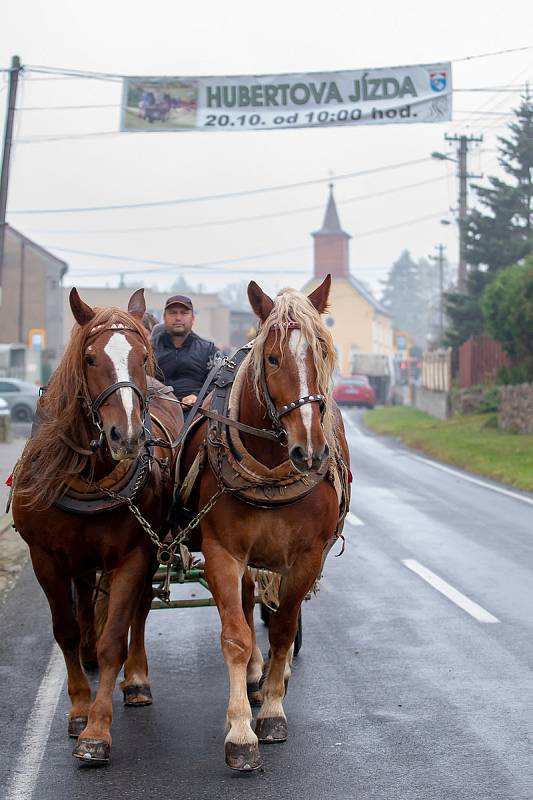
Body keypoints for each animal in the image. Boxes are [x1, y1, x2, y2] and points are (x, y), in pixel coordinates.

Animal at [11, 290, 183, 764]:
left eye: (143, 356)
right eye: (89, 358)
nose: (126, 436)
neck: (90, 475)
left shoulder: (133, 555)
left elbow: (114, 640)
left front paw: (96, 730)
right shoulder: (46, 558)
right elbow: (67, 631)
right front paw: (78, 710)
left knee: (139, 612)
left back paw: (137, 680)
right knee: (86, 603)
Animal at [180, 274, 350, 768]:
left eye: (323, 353)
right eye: (272, 358)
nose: (309, 451)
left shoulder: (308, 557)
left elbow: (284, 628)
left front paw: (273, 710)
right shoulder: (223, 552)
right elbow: (236, 635)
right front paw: (240, 731)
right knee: (247, 599)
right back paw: (255, 676)